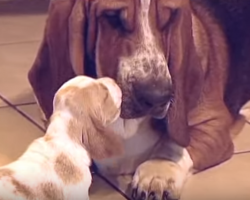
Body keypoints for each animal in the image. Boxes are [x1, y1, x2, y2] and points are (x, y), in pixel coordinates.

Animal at [27, 0, 250, 200]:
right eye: (112, 17)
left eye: (168, 18)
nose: (159, 97)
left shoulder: (213, 124)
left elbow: (173, 145)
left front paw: (157, 173)